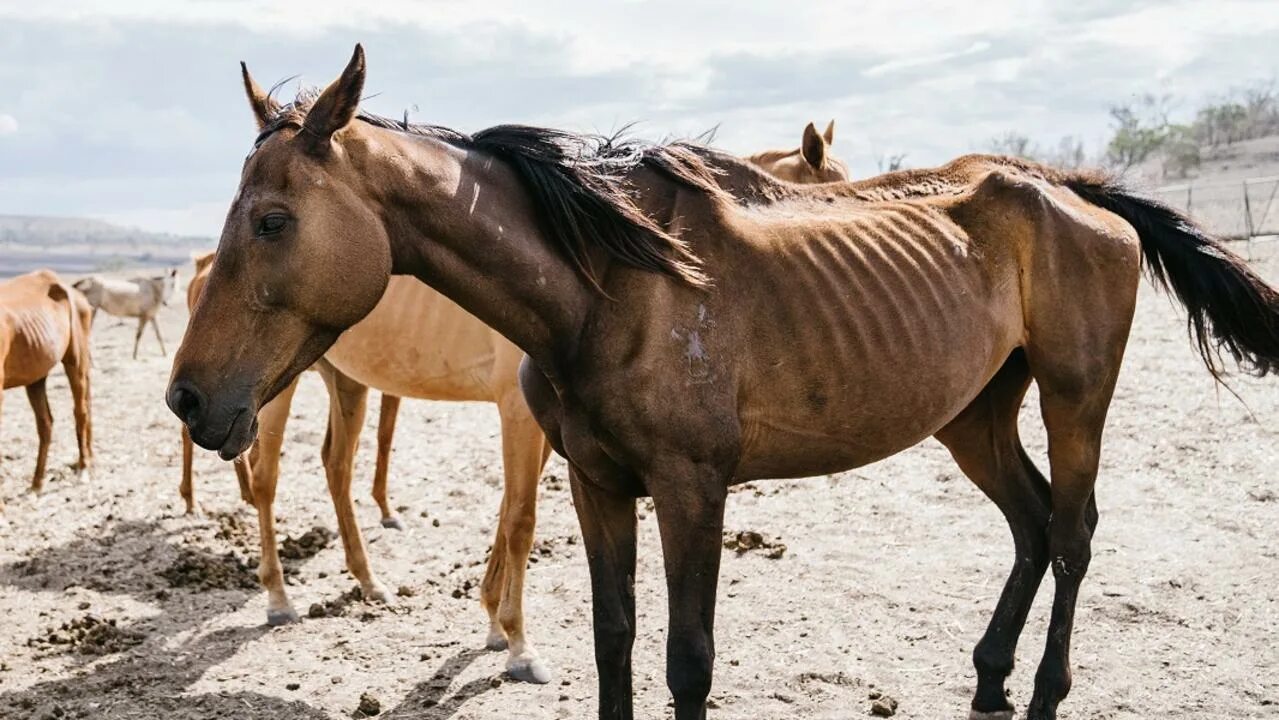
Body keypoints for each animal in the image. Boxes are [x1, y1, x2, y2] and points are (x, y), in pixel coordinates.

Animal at [170, 46, 1279, 720]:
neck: (613, 288)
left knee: (1074, 531)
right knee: (1031, 523)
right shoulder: (598, 483)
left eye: (272, 219)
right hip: (974, 414)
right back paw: (988, 682)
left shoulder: (693, 490)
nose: (187, 399)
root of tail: (1073, 193)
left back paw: (1044, 690)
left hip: (1072, 396)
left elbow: (686, 659)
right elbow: (615, 640)